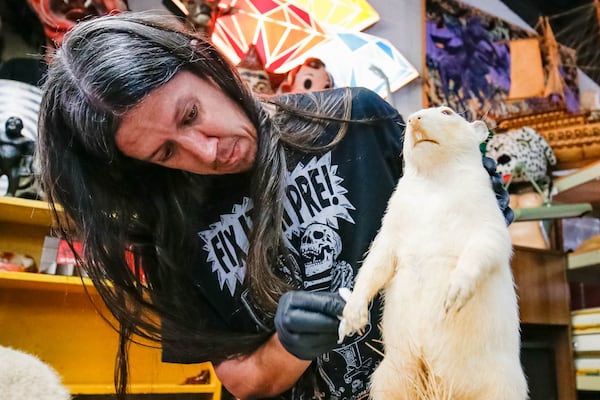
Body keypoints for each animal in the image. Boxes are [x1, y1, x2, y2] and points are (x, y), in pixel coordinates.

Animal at [340, 107, 528, 400]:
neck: (434, 181)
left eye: (447, 111)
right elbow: (376, 262)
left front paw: (455, 292)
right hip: (390, 376)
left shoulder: (485, 214)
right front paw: (352, 316)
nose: (414, 118)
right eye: (409, 118)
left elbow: (487, 244)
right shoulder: (393, 224)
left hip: (501, 386)